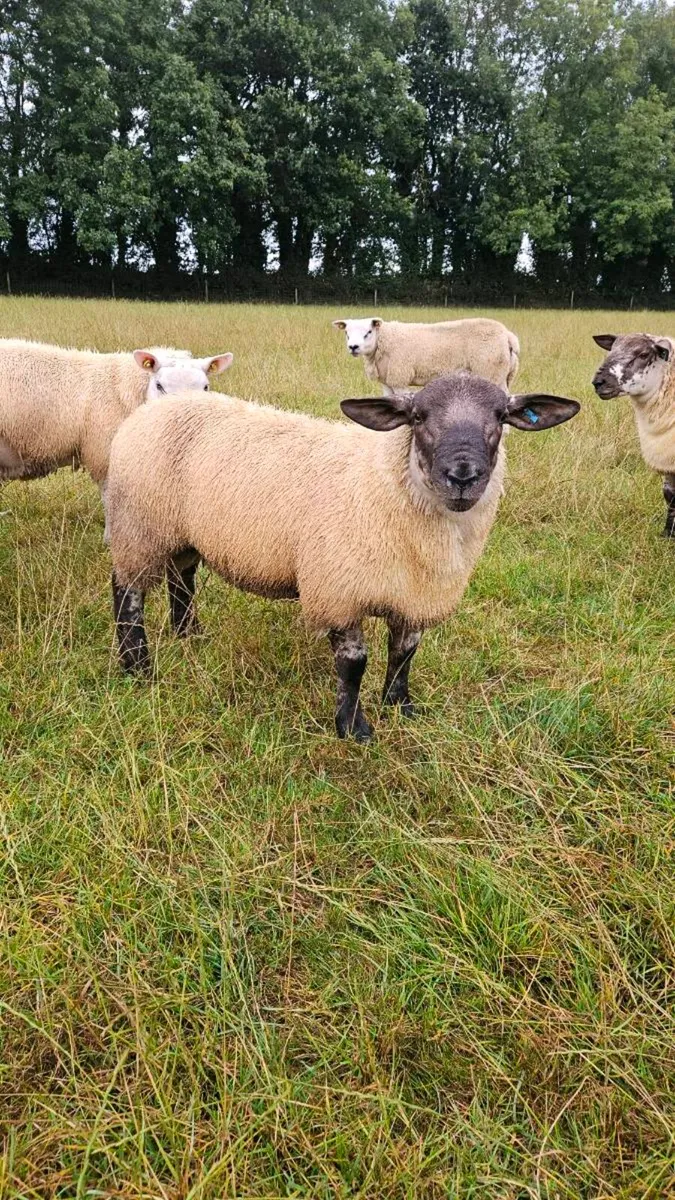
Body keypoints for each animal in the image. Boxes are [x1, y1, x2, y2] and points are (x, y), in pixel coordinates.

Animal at [106, 372, 579, 742]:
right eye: (418, 417)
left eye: (500, 417)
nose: (462, 476)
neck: (389, 482)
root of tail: (155, 408)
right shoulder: (338, 591)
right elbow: (354, 665)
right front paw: (353, 728)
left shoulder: (415, 596)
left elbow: (404, 655)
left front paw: (400, 708)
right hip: (138, 528)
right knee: (127, 592)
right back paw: (137, 666)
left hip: (179, 533)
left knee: (182, 578)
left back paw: (190, 635)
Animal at [332, 316, 520, 393]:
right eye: (346, 333)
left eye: (369, 332)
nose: (353, 347)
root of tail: (507, 335)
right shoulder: (388, 382)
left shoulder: (400, 379)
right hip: (502, 376)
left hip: (491, 371)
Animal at [592, 333, 675, 537]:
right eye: (612, 349)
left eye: (644, 354)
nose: (599, 382)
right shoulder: (665, 456)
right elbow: (669, 495)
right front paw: (667, 534)